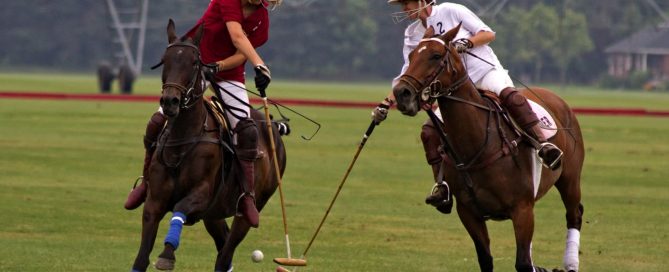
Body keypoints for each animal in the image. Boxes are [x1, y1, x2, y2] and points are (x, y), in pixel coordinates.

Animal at [131, 19, 288, 272]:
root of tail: (273, 124)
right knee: (223, 249)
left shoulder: (201, 194)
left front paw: (167, 254)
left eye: (194, 62)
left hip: (249, 209)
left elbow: (180, 207)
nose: (170, 101)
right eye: (165, 60)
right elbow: (141, 258)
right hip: (214, 214)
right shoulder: (154, 202)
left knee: (225, 253)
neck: (182, 140)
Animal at [392, 24, 584, 270]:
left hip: (570, 178)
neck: (478, 144)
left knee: (574, 214)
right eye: (411, 56)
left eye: (435, 56)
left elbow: (523, 263)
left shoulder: (522, 209)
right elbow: (486, 260)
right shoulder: (468, 213)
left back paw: (571, 264)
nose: (402, 93)